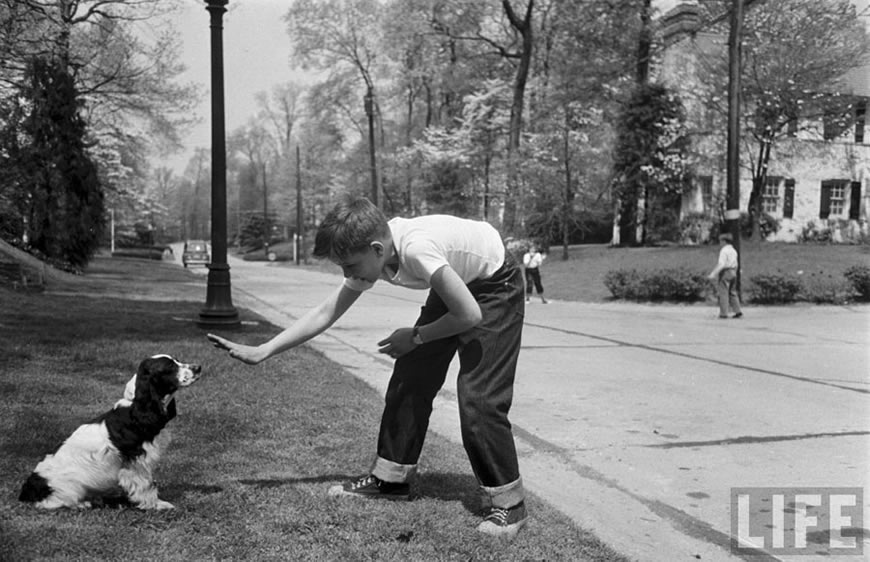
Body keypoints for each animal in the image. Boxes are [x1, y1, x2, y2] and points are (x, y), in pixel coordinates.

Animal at [18, 354, 203, 508]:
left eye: (177, 360)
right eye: (170, 366)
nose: (198, 367)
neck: (135, 407)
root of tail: (27, 489)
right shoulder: (136, 460)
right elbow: (147, 484)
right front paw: (157, 505)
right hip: (69, 485)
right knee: (51, 502)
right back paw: (82, 504)